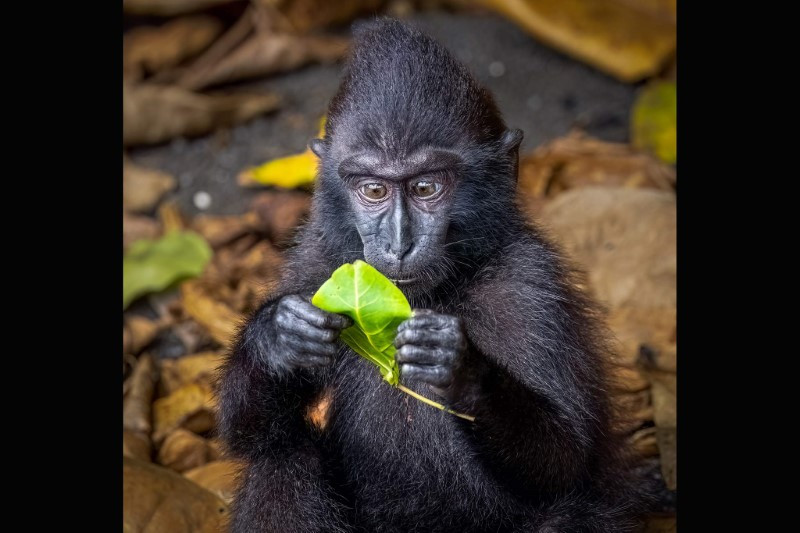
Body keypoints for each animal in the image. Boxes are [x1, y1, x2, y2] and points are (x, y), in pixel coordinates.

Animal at [217, 17, 644, 532]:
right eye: (374, 190)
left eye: (425, 187)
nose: (399, 243)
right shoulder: (316, 265)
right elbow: (248, 435)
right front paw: (279, 336)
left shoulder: (528, 289)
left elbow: (566, 461)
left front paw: (462, 371)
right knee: (280, 459)